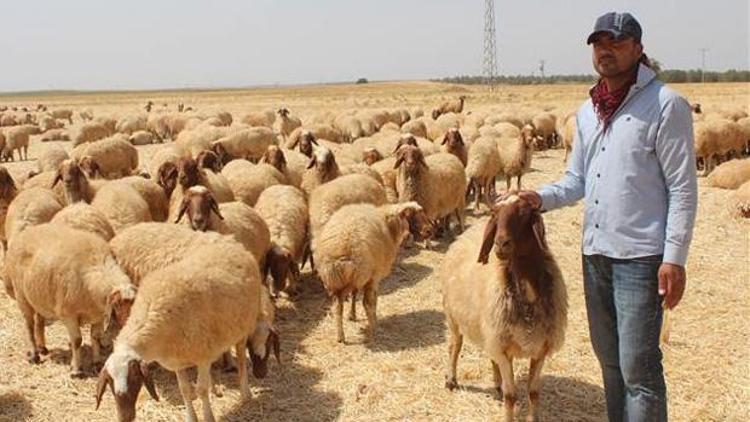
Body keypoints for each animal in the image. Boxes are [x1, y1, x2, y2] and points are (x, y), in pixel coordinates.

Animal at [94, 239, 276, 422]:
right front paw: (191, 417)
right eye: (109, 382)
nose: (125, 417)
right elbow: (185, 389)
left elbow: (201, 389)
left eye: (135, 377)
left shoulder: (202, 357)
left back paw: (245, 394)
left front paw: (208, 416)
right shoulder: (177, 361)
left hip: (242, 327)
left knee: (241, 359)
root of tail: (237, 247)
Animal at [312, 201, 428, 342]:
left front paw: (352, 315)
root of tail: (343, 251)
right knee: (366, 302)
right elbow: (373, 300)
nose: (429, 231)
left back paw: (341, 336)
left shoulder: (358, 280)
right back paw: (373, 329)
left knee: (338, 307)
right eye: (413, 215)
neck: (390, 226)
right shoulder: (374, 276)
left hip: (336, 282)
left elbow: (354, 294)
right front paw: (373, 318)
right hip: (365, 275)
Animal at [440, 195, 568, 422]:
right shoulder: (504, 348)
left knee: (491, 357)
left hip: (491, 331)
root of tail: (467, 232)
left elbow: (534, 393)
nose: (500, 243)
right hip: (453, 317)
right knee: (455, 346)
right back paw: (451, 380)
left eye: (524, 214)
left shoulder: (539, 348)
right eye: (495, 215)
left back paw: (496, 384)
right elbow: (511, 395)